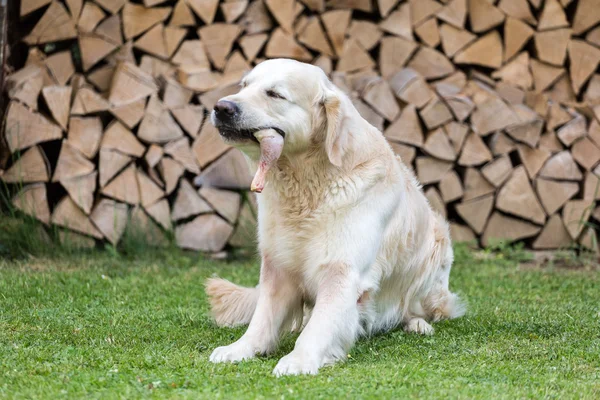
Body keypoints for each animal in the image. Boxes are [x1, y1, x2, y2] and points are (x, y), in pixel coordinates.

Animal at [205, 58, 464, 376]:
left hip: (437, 251)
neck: (307, 182)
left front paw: (299, 360)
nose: (222, 107)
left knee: (423, 306)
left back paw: (417, 323)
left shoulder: (341, 271)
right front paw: (241, 348)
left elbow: (321, 324)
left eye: (275, 94)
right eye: (244, 85)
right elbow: (263, 316)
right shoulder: (277, 265)